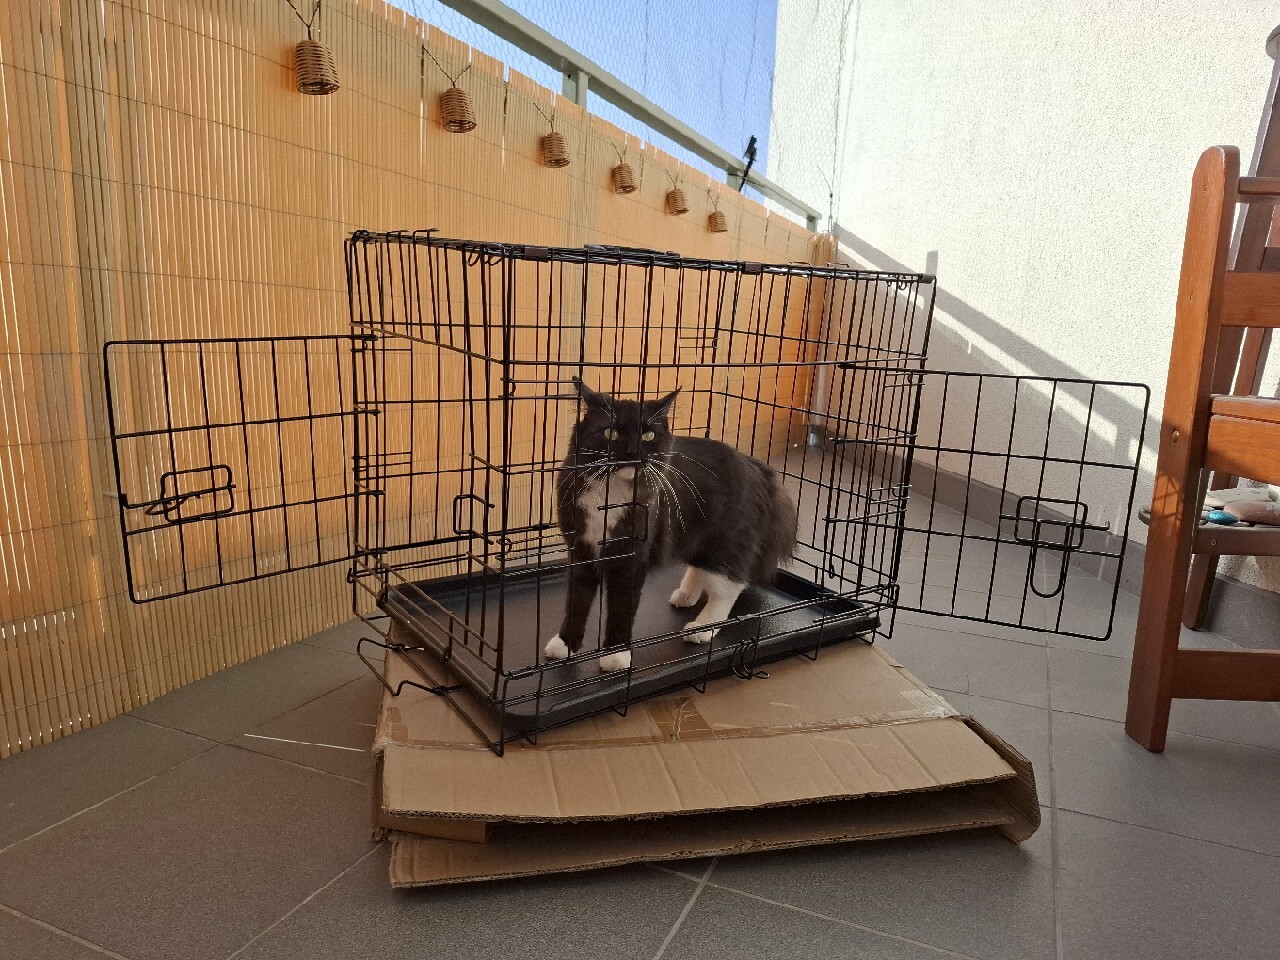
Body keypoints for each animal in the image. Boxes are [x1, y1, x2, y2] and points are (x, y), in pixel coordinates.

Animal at [544, 378, 798, 672]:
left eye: (648, 436)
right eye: (611, 433)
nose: (632, 452)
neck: (610, 495)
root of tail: (757, 468)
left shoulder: (631, 558)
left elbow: (621, 607)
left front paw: (616, 656)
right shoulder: (581, 551)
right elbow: (577, 601)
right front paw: (565, 644)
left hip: (726, 541)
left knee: (730, 585)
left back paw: (702, 628)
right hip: (696, 536)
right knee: (701, 567)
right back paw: (685, 595)